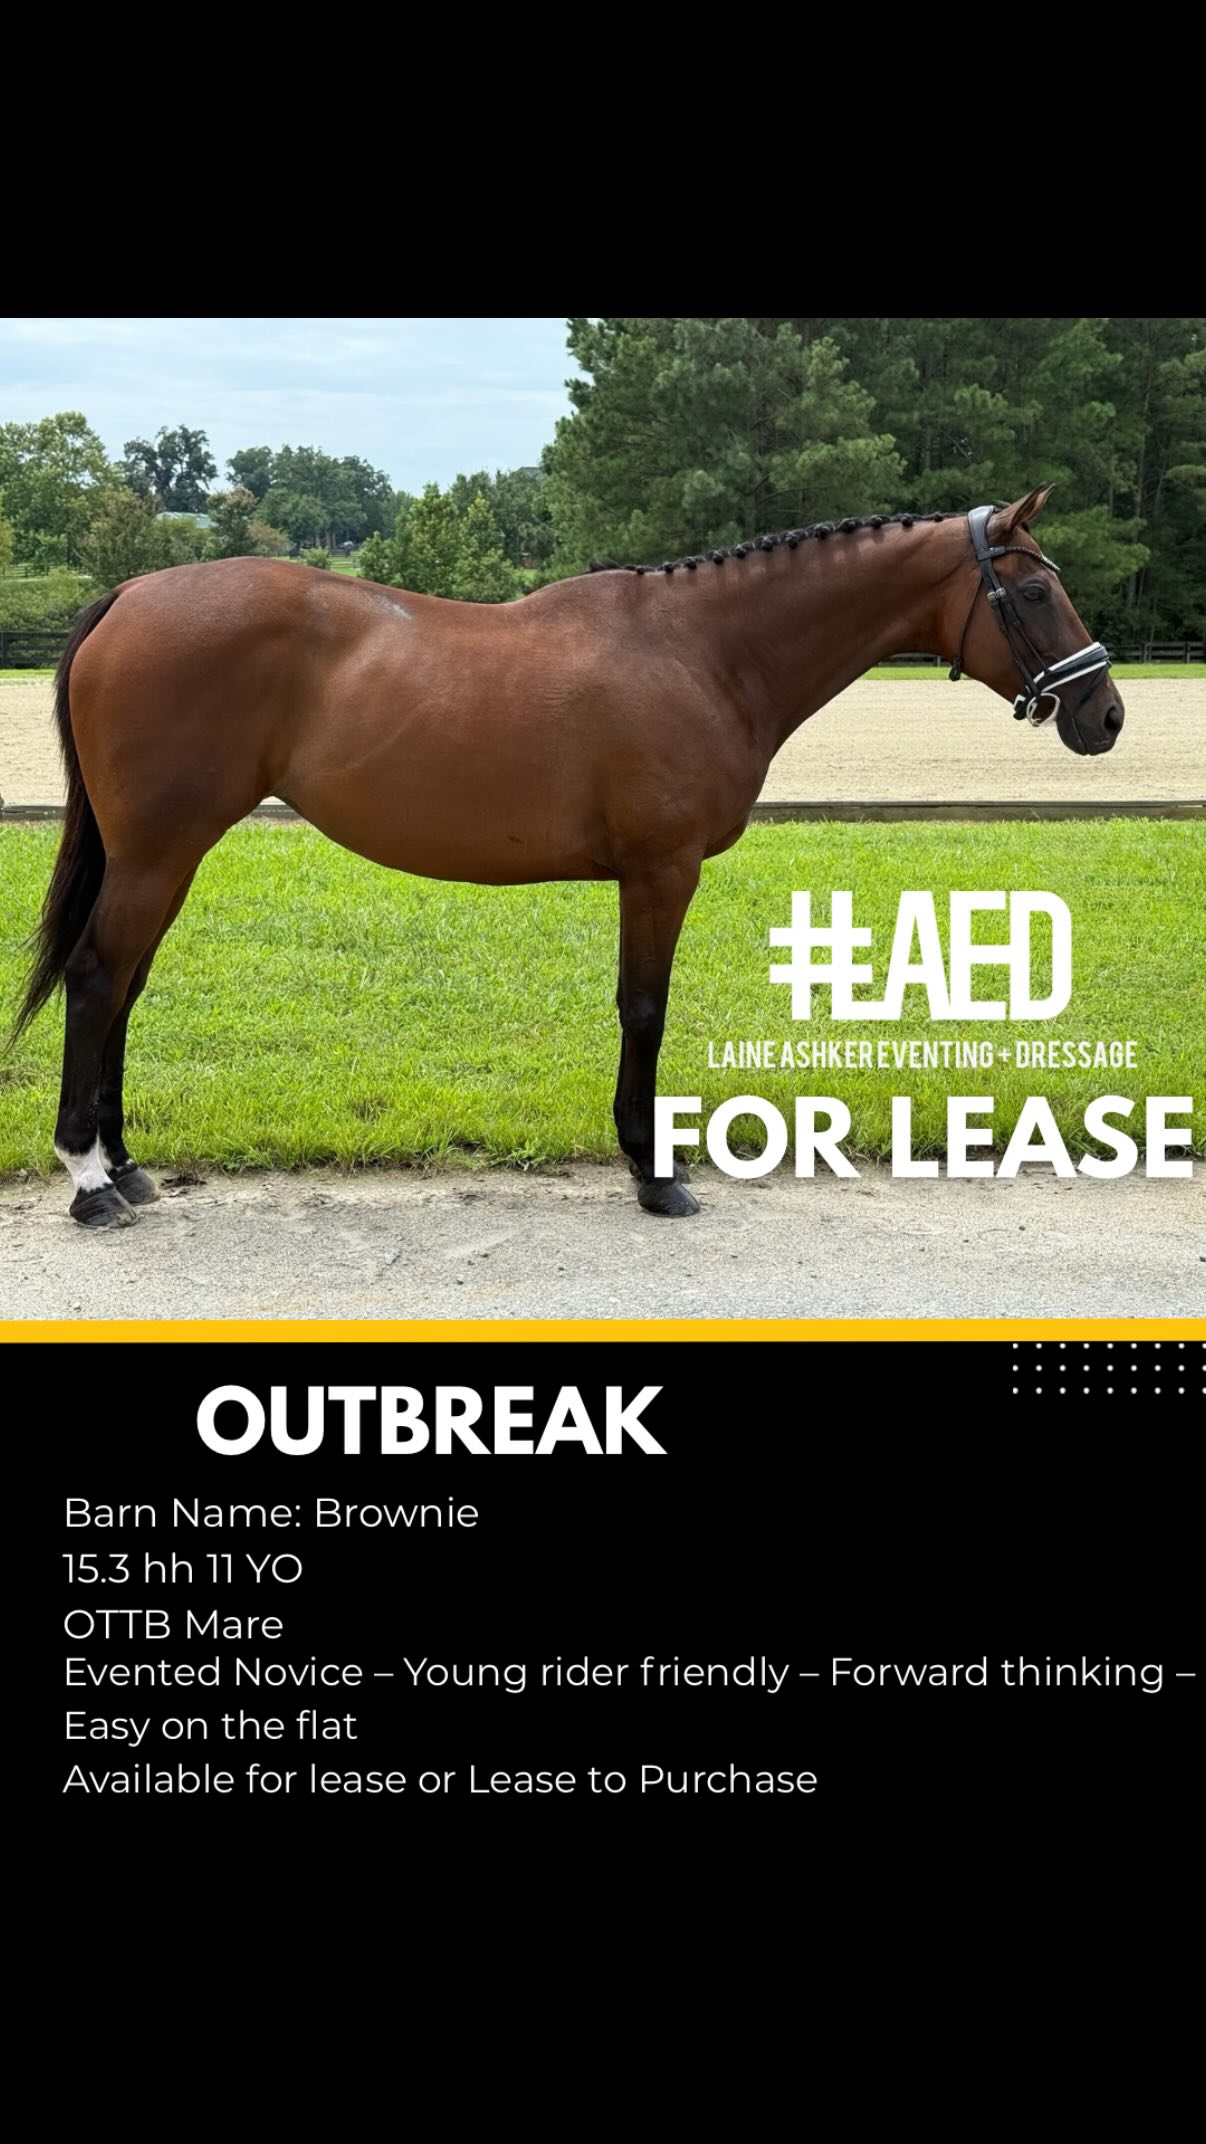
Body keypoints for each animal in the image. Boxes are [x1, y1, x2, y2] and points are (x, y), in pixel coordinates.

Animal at [14, 483, 1123, 1232]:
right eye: (1031, 592)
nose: (1104, 713)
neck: (706, 651)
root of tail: (130, 594)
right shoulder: (662, 870)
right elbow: (645, 1008)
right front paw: (654, 1170)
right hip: (159, 850)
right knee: (99, 977)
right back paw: (90, 1181)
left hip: (165, 854)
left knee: (123, 987)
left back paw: (126, 1164)